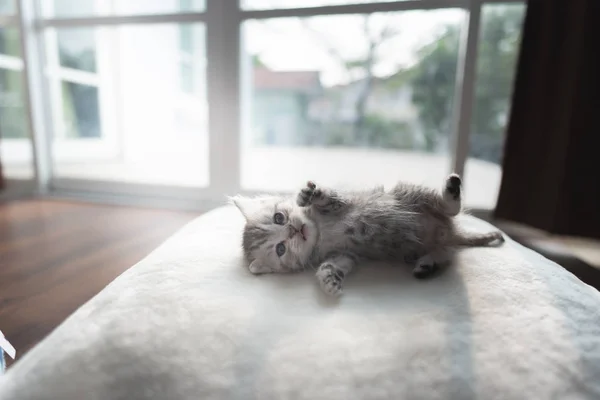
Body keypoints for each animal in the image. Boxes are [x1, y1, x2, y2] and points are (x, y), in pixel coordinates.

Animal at [232, 173, 504, 296]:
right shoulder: (345, 254)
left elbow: (326, 197)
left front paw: (306, 194)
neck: (321, 232)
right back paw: (426, 266)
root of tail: (449, 232)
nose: (294, 229)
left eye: (280, 217)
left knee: (448, 207)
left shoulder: (344, 201)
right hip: (431, 245)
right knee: (445, 254)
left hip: (412, 194)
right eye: (281, 249)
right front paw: (328, 281)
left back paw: (451, 191)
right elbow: (332, 266)